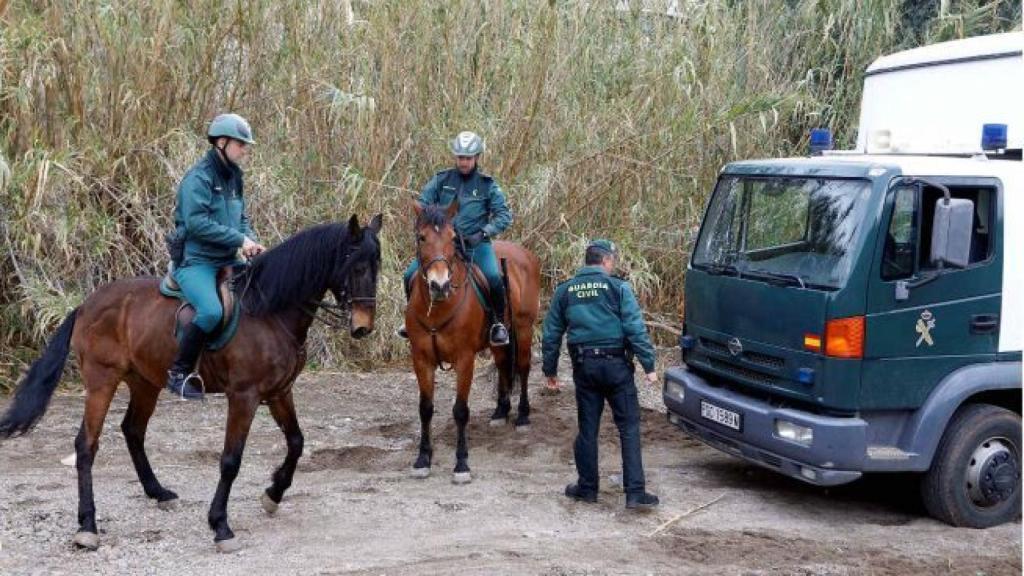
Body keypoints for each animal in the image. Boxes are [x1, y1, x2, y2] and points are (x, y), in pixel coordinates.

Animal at [0, 214, 382, 553]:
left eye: (376, 267)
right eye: (355, 267)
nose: (363, 328)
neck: (270, 312)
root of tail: (86, 305)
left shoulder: (279, 392)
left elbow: (297, 442)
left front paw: (273, 494)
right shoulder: (243, 397)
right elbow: (231, 460)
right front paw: (221, 525)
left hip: (145, 382)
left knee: (133, 431)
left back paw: (157, 492)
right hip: (101, 381)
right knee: (86, 446)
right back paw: (87, 528)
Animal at [403, 201, 540, 479]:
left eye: (453, 238)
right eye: (422, 237)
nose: (440, 285)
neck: (438, 308)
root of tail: (524, 254)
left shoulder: (465, 359)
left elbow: (460, 410)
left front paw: (461, 463)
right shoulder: (421, 359)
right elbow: (425, 408)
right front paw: (423, 459)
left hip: (524, 328)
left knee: (522, 367)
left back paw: (522, 416)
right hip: (501, 341)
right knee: (503, 366)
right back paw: (500, 412)